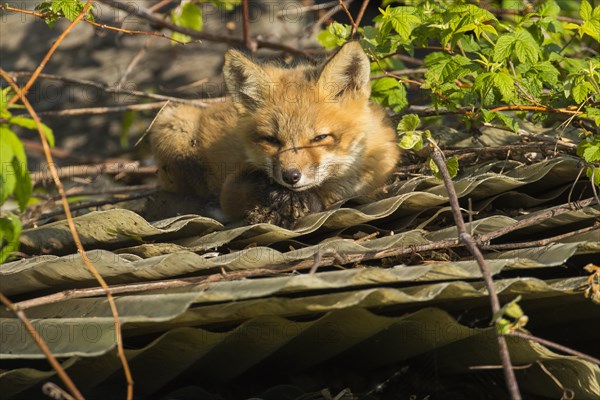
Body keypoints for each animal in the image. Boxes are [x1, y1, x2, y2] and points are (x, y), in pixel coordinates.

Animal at [150, 41, 400, 227]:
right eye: (271, 140)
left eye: (319, 138)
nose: (291, 176)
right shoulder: (230, 191)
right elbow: (249, 186)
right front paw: (278, 195)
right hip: (172, 124)